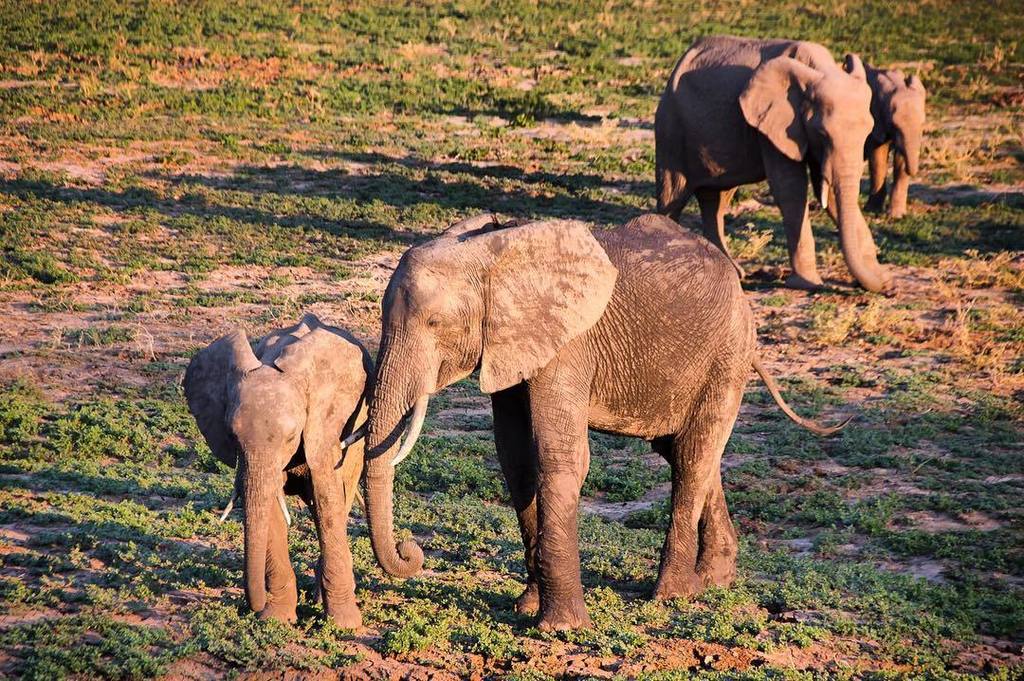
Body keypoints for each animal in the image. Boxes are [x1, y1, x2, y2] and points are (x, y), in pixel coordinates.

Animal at [184, 313, 370, 628]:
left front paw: (345, 624)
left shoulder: (324, 427)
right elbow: (268, 506)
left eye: (291, 437)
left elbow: (327, 502)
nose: (253, 606)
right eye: (232, 436)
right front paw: (276, 618)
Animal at [361, 213, 846, 631]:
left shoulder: (568, 345)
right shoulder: (511, 344)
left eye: (434, 322)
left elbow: (560, 458)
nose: (410, 550)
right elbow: (517, 460)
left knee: (693, 455)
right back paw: (712, 580)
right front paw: (527, 608)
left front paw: (560, 627)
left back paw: (671, 595)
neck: (494, 252)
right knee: (685, 452)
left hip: (727, 354)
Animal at [655, 35, 894, 293]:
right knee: (673, 196)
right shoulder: (771, 126)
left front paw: (879, 276)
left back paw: (732, 272)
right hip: (671, 129)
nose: (889, 287)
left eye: (867, 132)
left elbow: (829, 193)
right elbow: (790, 189)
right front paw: (807, 284)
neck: (820, 69)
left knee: (716, 199)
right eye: (822, 133)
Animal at [861, 65, 926, 219]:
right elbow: (878, 157)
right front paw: (872, 210)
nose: (914, 171)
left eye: (923, 124)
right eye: (894, 125)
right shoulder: (876, 121)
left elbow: (900, 160)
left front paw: (897, 216)